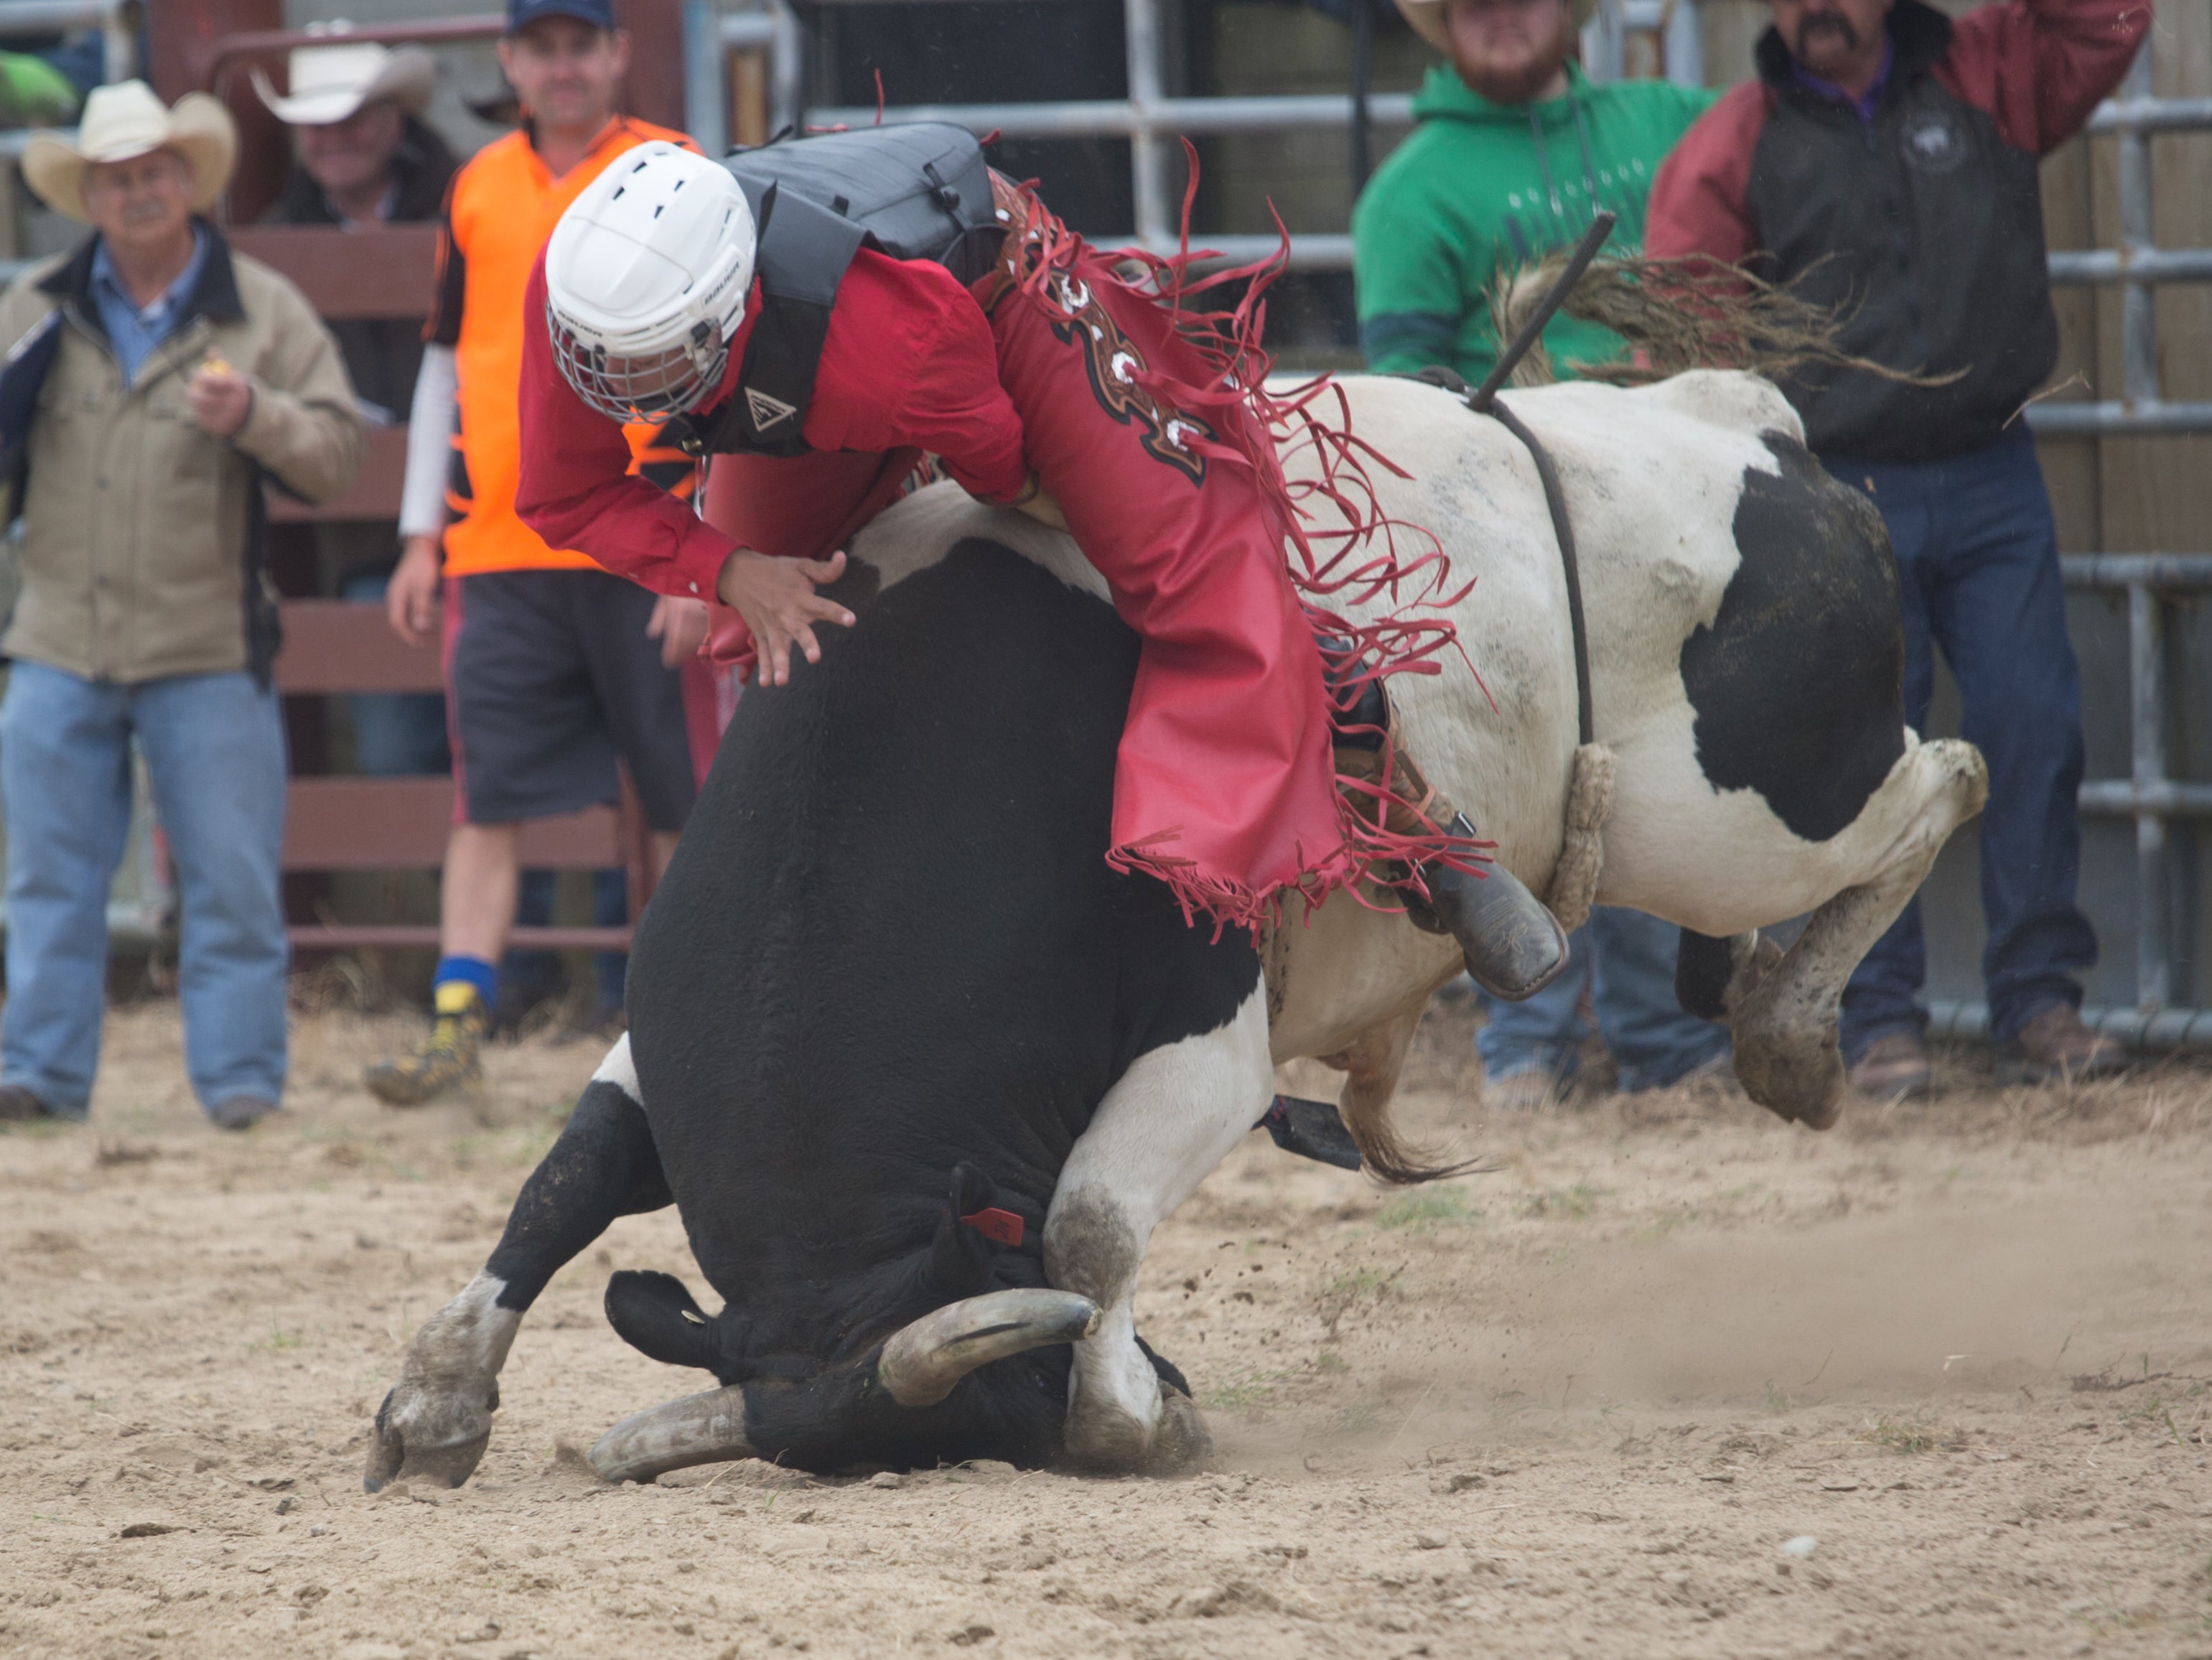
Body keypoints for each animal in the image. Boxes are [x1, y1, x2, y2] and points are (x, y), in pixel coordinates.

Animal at [361, 368, 1986, 1490]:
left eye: (1012, 1403)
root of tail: (1748, 427)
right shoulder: (652, 1041)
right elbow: (564, 1180)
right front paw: (434, 1400)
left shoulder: (1209, 1047)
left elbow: (1086, 1223)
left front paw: (1133, 1418)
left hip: (1743, 817)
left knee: (1941, 779)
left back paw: (1790, 1036)